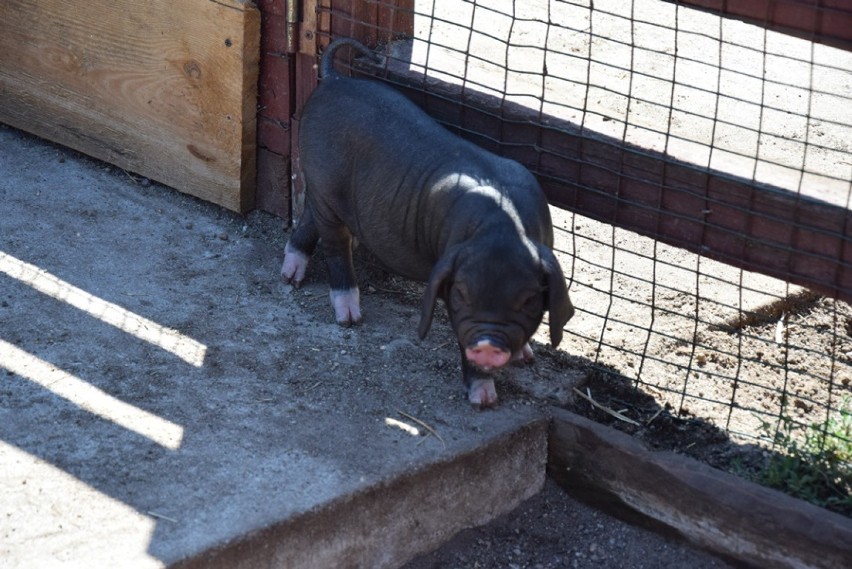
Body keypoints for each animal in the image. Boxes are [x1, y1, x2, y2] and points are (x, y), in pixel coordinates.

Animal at [282, 37, 576, 406]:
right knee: (336, 245)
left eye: (528, 299)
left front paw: (527, 357)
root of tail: (333, 80)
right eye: (462, 294)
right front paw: (484, 400)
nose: (487, 346)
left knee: (309, 219)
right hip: (325, 182)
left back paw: (289, 278)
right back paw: (349, 317)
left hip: (324, 192)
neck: (502, 228)